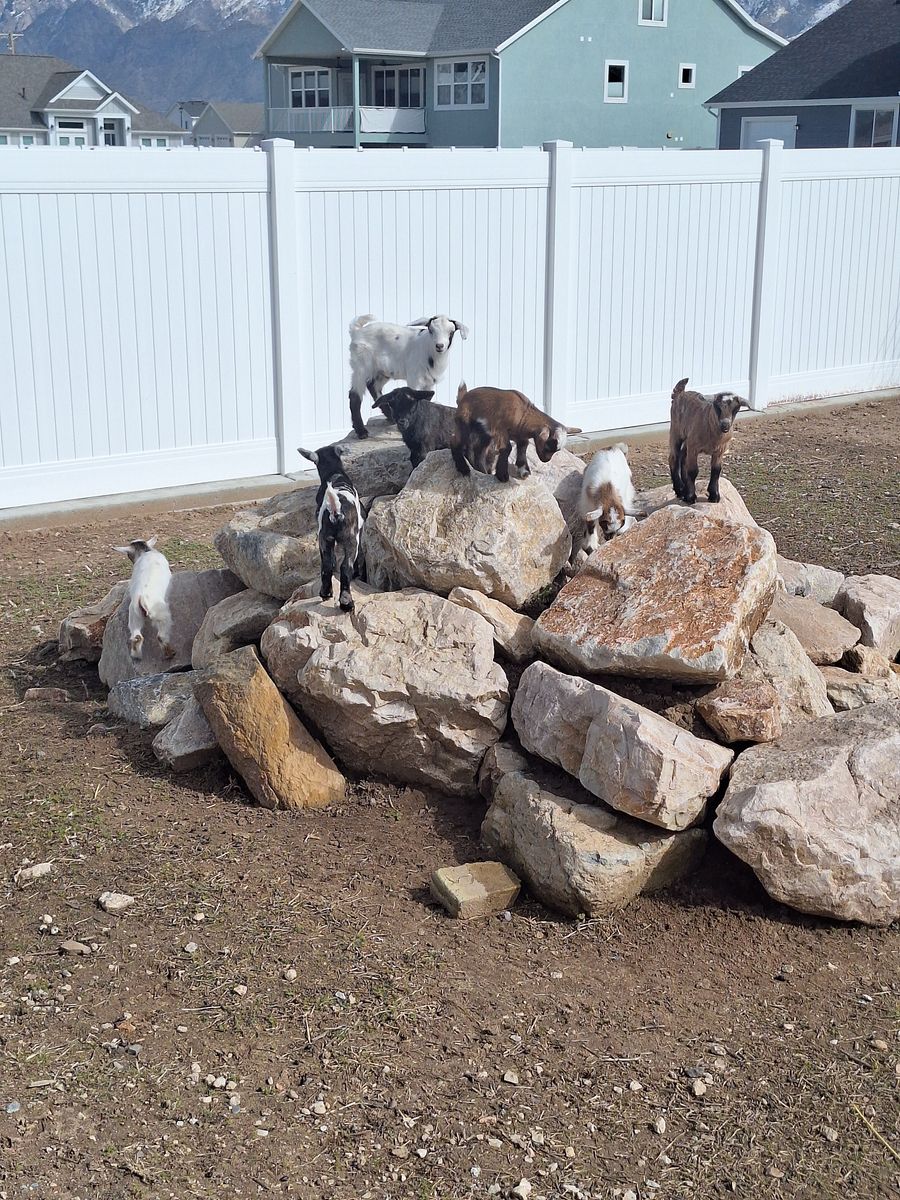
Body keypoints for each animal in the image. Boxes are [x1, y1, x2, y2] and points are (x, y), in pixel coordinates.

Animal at [298, 444, 363, 613]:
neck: (334, 474)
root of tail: (336, 510)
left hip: (324, 540)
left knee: (326, 567)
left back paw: (326, 593)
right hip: (351, 541)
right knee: (346, 568)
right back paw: (346, 603)